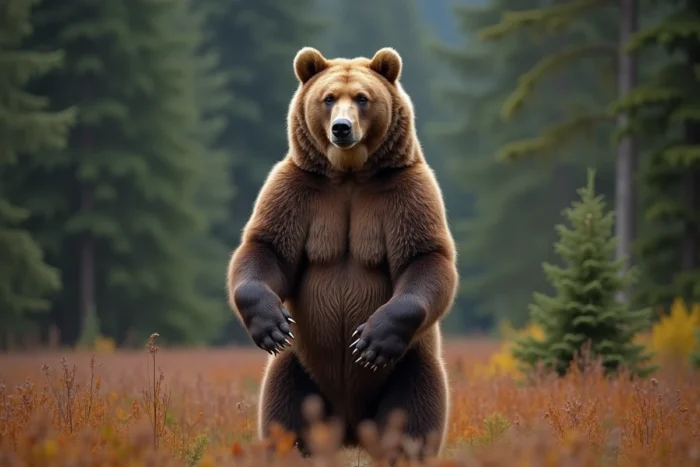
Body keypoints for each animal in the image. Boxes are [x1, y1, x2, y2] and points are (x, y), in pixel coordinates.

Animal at [226, 46, 459, 459]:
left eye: (362, 98)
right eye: (329, 98)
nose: (342, 128)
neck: (350, 174)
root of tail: (351, 429)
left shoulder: (405, 192)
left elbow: (425, 258)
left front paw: (370, 340)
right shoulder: (298, 189)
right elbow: (266, 248)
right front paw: (271, 324)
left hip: (411, 369)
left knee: (411, 429)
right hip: (298, 373)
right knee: (285, 426)